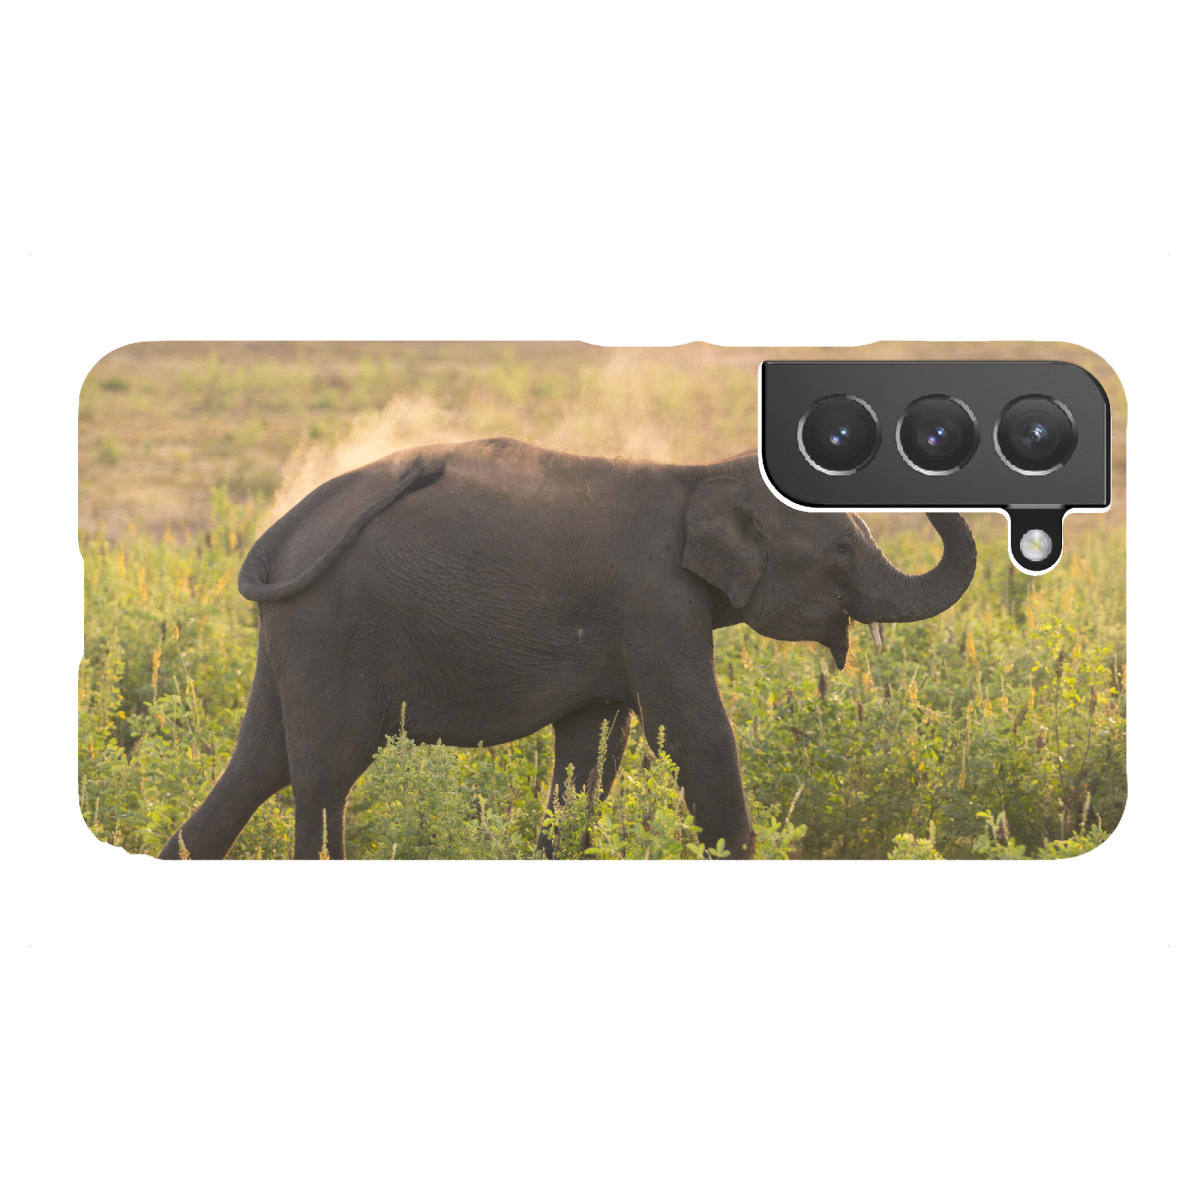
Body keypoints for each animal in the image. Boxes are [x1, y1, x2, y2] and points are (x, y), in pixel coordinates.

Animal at [158, 437, 976, 861]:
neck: (702, 473)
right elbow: (696, 736)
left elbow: (593, 754)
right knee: (324, 773)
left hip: (294, 629)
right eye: (841, 549)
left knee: (259, 767)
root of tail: (284, 526)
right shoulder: (654, 604)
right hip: (331, 627)